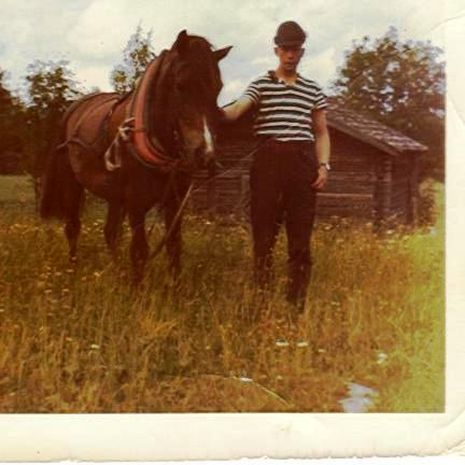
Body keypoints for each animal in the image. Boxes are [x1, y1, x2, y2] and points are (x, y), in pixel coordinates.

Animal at [39, 31, 232, 284]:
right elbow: (140, 251)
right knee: (73, 227)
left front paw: (175, 288)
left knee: (110, 232)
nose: (205, 153)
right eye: (180, 85)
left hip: (114, 195)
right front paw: (137, 290)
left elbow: (174, 246)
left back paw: (116, 272)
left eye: (218, 87)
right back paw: (73, 272)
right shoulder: (136, 203)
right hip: (72, 185)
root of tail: (73, 109)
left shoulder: (175, 201)